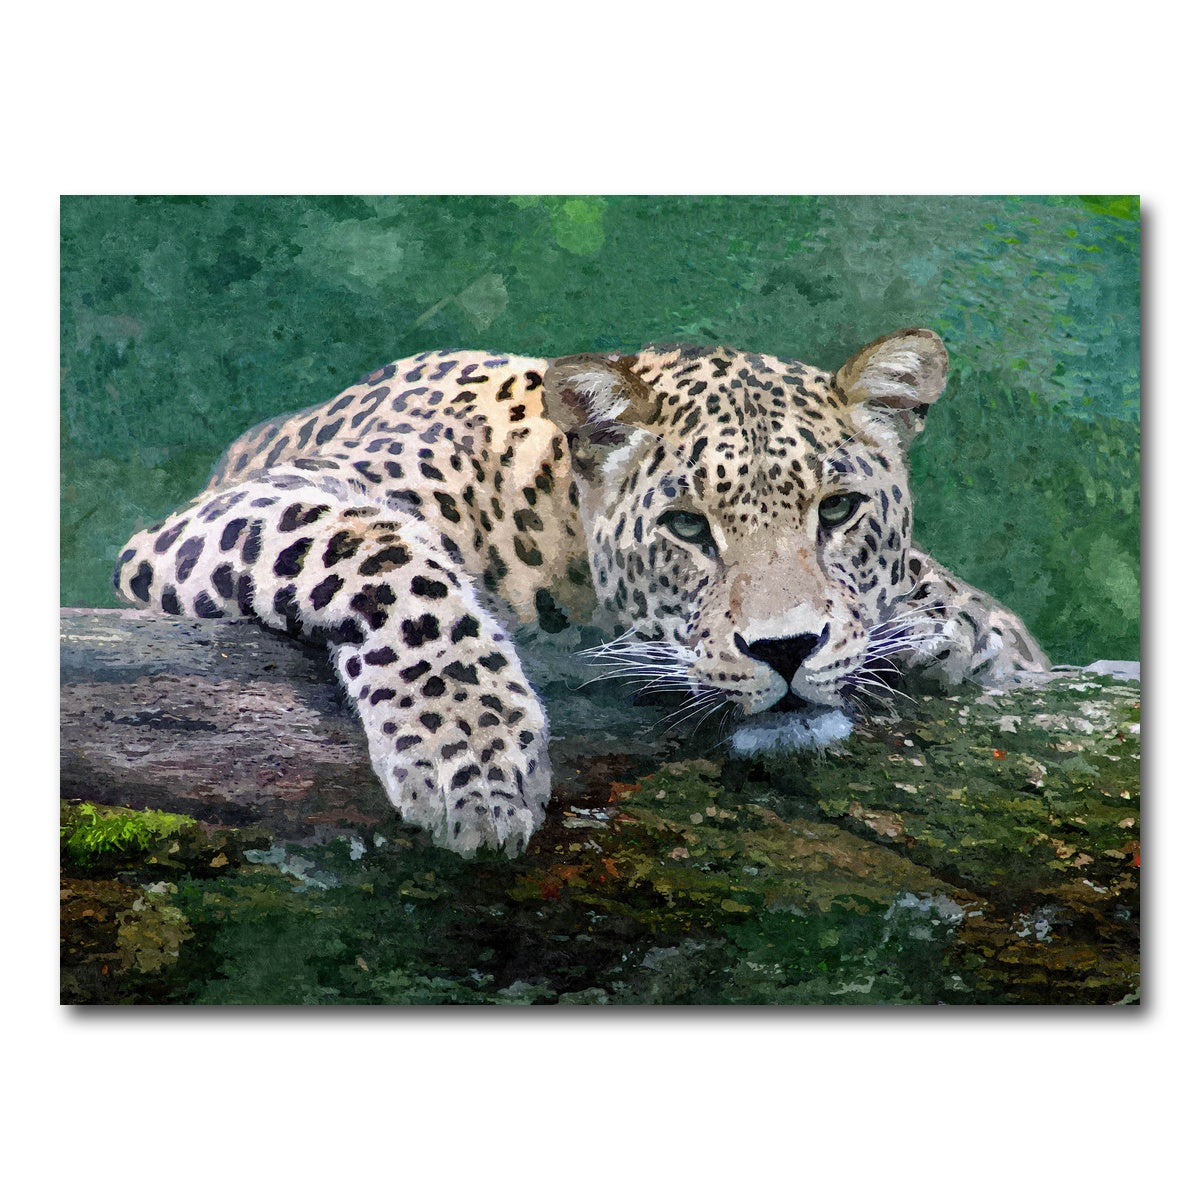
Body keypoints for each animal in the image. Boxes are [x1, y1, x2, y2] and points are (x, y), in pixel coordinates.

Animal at [115, 327, 1049, 857]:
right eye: (686, 527)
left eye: (840, 510)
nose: (785, 650)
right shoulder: (247, 506)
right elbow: (387, 560)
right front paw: (473, 759)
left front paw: (953, 626)